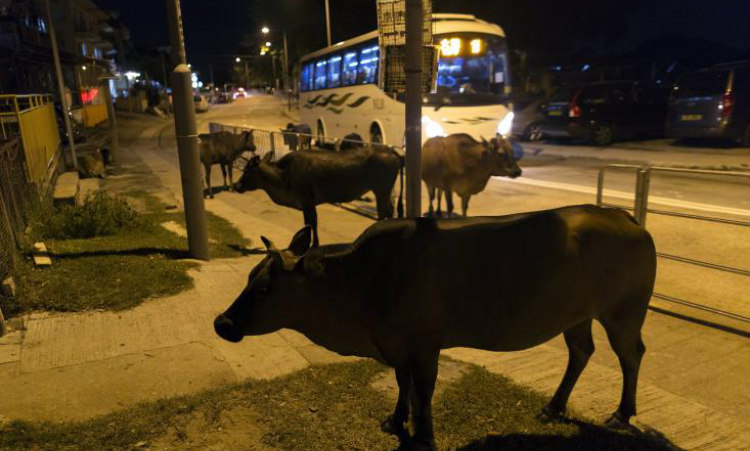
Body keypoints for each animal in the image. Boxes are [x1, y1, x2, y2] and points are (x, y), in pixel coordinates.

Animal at [216, 206, 656, 451]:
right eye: (250, 277)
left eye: (264, 287)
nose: (222, 323)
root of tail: (624, 216)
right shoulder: (396, 345)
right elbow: (402, 383)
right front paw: (396, 420)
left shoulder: (425, 344)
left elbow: (424, 388)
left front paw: (424, 435)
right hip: (578, 314)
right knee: (581, 351)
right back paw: (553, 406)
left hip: (623, 311)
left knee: (631, 354)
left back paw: (621, 413)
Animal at [236, 147, 406, 247]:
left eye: (247, 171)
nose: (236, 185)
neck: (283, 176)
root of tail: (393, 152)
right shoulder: (306, 203)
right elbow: (309, 223)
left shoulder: (307, 201)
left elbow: (312, 222)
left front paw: (314, 244)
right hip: (385, 191)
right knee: (389, 210)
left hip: (381, 189)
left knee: (384, 212)